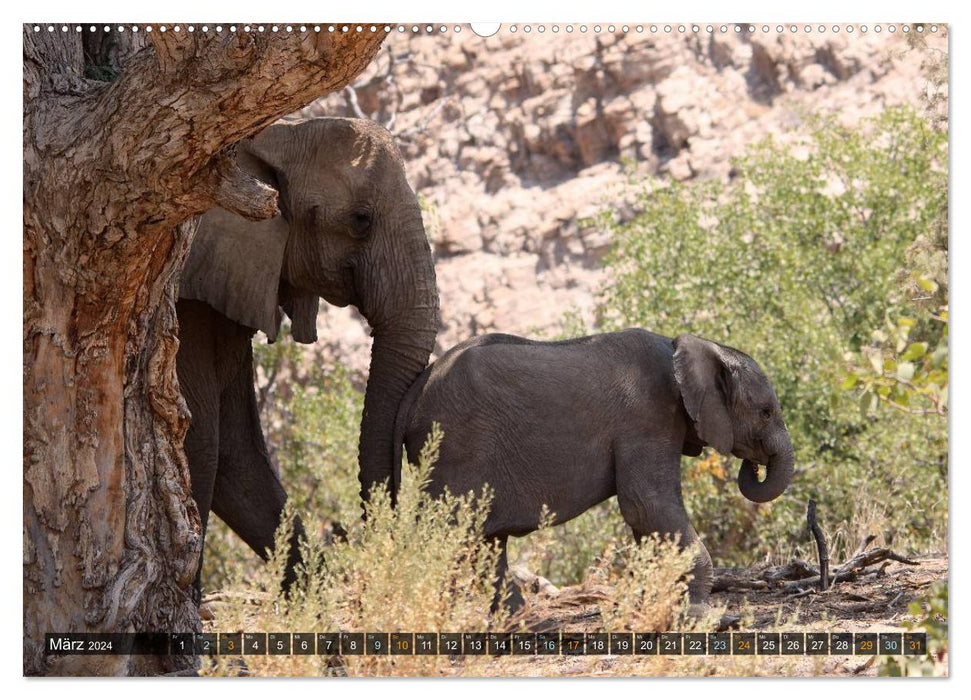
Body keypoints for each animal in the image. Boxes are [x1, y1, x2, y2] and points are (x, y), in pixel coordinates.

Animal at [392, 330, 792, 608]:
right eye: (766, 412)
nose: (754, 465)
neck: (686, 347)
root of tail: (417, 387)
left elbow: (647, 517)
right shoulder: (647, 417)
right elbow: (645, 504)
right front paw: (695, 609)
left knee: (484, 544)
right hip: (453, 448)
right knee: (451, 536)